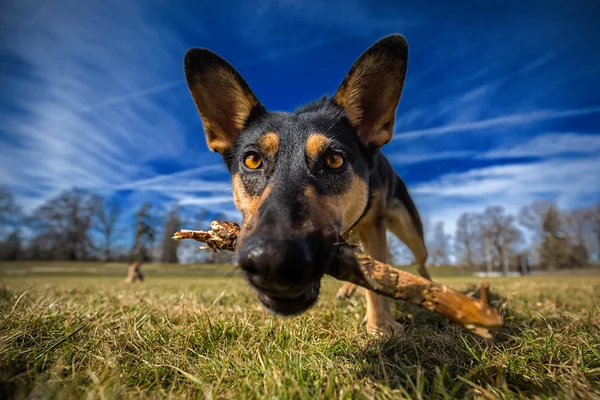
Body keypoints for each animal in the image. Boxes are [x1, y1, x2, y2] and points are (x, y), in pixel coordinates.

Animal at [184, 34, 432, 336]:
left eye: (335, 160)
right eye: (252, 160)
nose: (273, 262)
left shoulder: (375, 225)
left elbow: (375, 276)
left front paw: (381, 324)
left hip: (410, 230)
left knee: (420, 262)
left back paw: (430, 290)